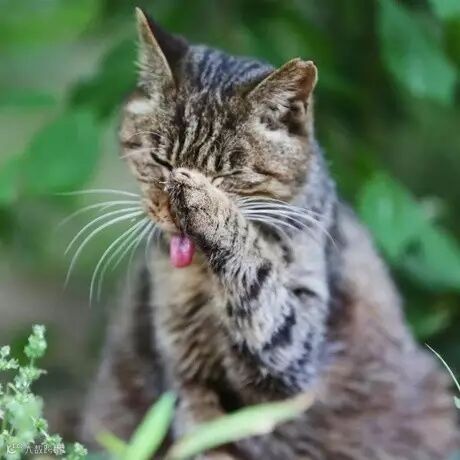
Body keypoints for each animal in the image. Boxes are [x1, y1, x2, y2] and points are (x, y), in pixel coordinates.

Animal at [80, 8, 458, 459]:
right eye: (160, 160)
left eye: (226, 174)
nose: (173, 207)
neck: (205, 278)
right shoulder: (186, 373)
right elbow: (203, 439)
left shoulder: (291, 360)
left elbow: (258, 285)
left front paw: (208, 205)